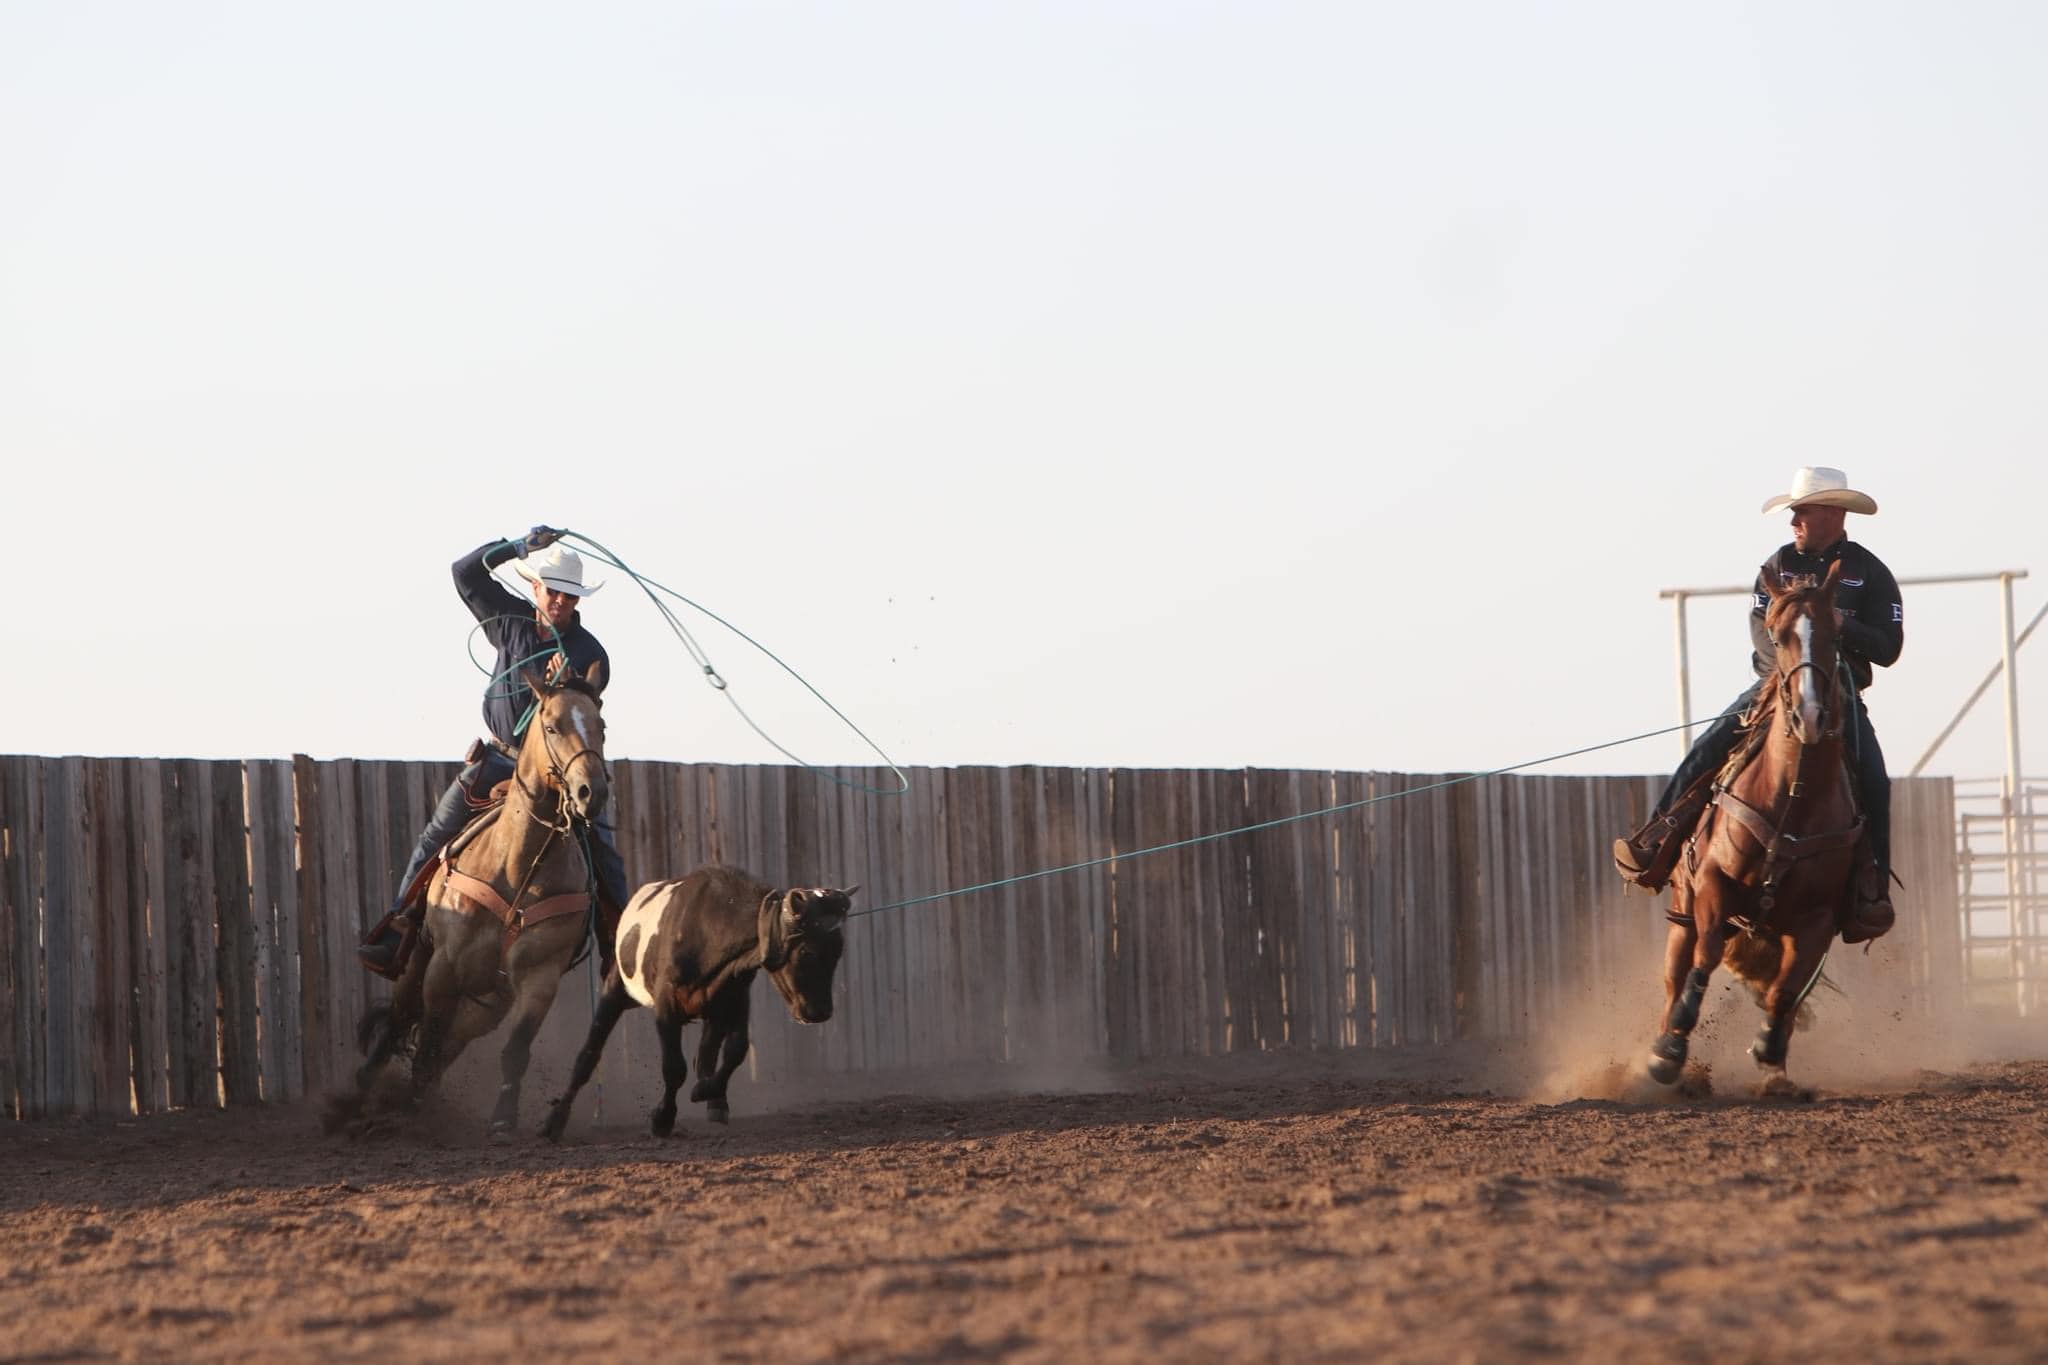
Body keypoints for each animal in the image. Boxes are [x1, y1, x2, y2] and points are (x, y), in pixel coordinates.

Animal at [343, 660, 611, 1134]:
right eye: (552, 725)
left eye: (601, 725)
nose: (590, 793)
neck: (517, 867)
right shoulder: (444, 966)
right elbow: (427, 1034)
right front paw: (411, 1105)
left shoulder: (539, 977)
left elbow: (516, 1048)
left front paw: (503, 1117)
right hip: (418, 960)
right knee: (400, 1019)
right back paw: (368, 1092)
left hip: (487, 1005)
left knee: (450, 1041)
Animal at [1647, 560, 1866, 1095]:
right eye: (1778, 634)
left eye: (1834, 635)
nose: (1810, 714)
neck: (1792, 801)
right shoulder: (1712, 884)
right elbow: (1704, 957)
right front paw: (1672, 1047)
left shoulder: (1818, 920)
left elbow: (1785, 991)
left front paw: (1770, 1054)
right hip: (1682, 908)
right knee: (1676, 971)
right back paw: (1664, 1048)